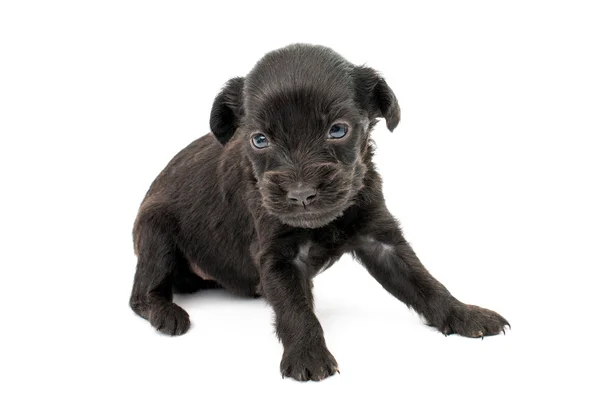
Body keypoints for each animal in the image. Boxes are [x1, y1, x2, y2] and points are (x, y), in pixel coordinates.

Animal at [129, 43, 508, 382]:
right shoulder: (278, 257)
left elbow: (424, 282)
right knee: (141, 294)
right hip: (156, 233)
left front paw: (464, 315)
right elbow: (296, 310)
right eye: (259, 140)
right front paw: (307, 355)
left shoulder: (380, 239)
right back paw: (166, 313)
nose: (300, 194)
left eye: (338, 130)